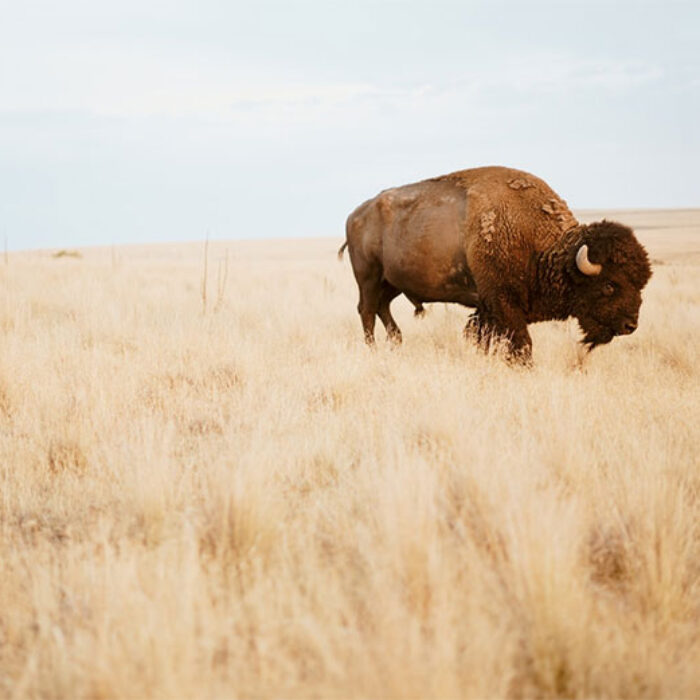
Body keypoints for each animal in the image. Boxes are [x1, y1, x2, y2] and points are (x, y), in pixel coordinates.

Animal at [339, 166, 651, 363]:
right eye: (610, 284)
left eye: (641, 284)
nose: (630, 325)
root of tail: (355, 214)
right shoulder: (503, 303)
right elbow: (521, 343)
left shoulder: (488, 308)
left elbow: (483, 337)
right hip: (369, 277)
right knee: (367, 311)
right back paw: (373, 349)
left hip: (392, 283)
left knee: (382, 308)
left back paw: (396, 342)